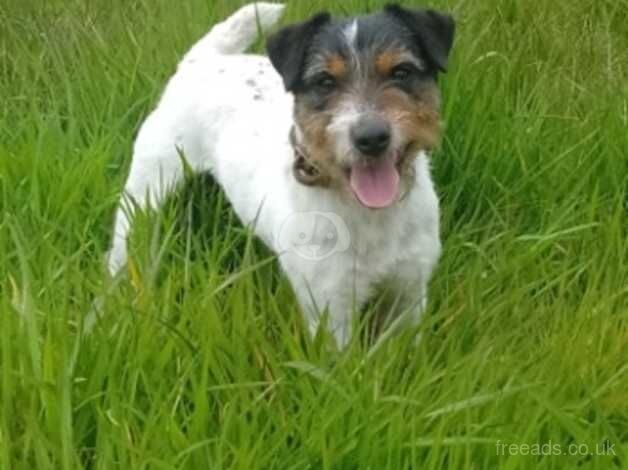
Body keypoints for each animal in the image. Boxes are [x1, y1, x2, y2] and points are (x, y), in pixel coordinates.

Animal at [106, 1, 452, 348]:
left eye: (402, 72)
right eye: (324, 81)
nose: (371, 137)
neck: (367, 212)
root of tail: (203, 60)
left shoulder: (408, 294)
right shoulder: (330, 308)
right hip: (148, 184)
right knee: (125, 232)